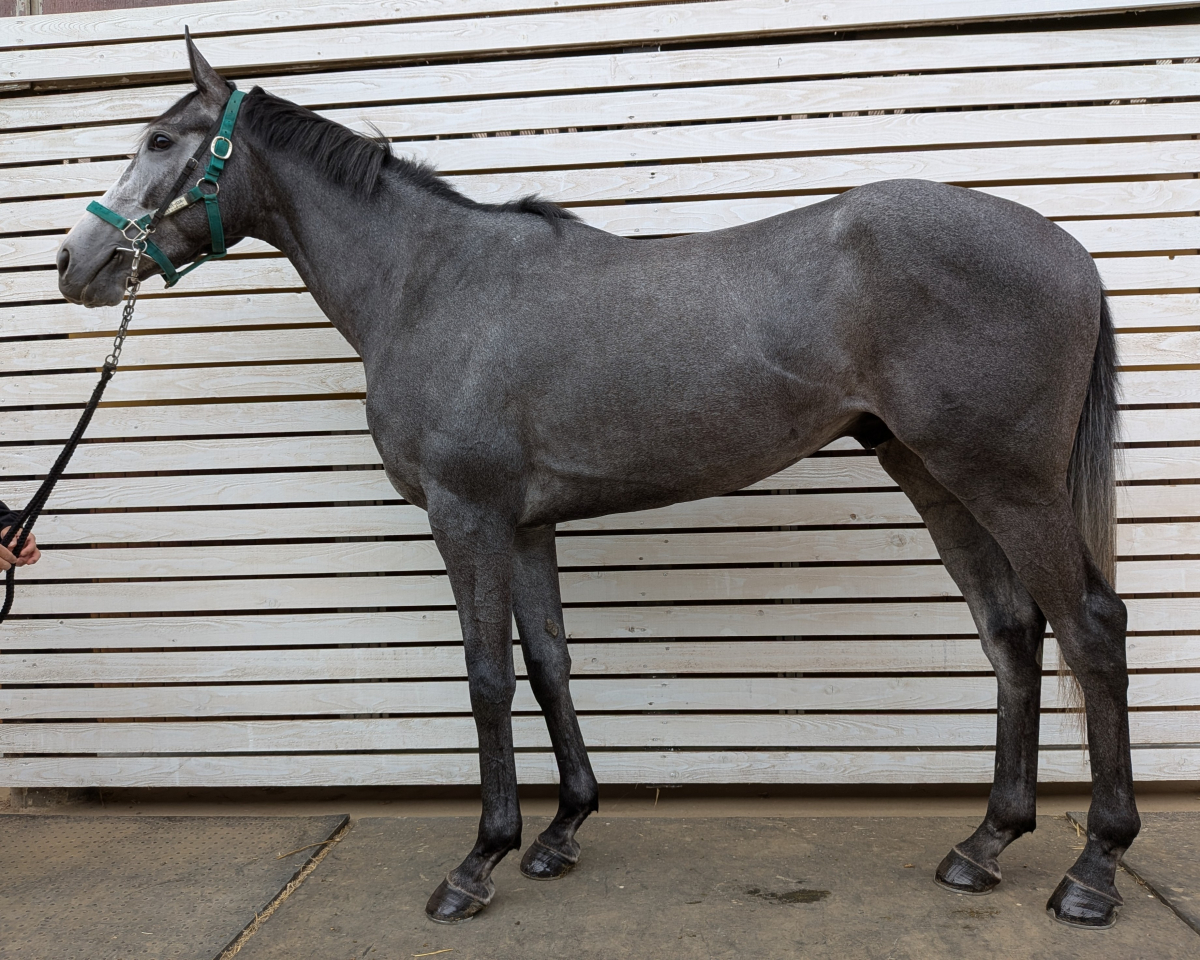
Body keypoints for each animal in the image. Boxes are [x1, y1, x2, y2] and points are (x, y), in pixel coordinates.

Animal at [56, 37, 1138, 928]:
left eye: (159, 139)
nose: (75, 262)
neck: (434, 282)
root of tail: (1070, 251)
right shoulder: (527, 523)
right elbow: (549, 665)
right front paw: (560, 831)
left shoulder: (468, 517)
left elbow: (487, 677)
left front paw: (478, 862)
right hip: (937, 475)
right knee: (1010, 633)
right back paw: (984, 844)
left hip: (1008, 481)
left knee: (1088, 628)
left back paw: (1092, 872)